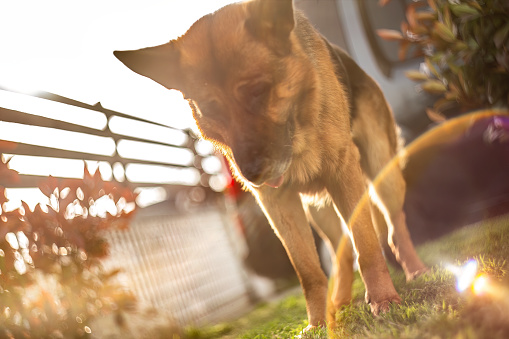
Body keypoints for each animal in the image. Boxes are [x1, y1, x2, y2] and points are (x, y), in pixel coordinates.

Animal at [113, 0, 426, 330]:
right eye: (211, 109)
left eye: (257, 91)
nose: (250, 175)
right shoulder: (278, 203)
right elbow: (308, 271)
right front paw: (317, 324)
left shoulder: (343, 176)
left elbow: (367, 246)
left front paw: (382, 300)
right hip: (320, 210)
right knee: (339, 252)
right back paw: (339, 303)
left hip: (382, 178)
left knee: (394, 230)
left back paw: (415, 271)